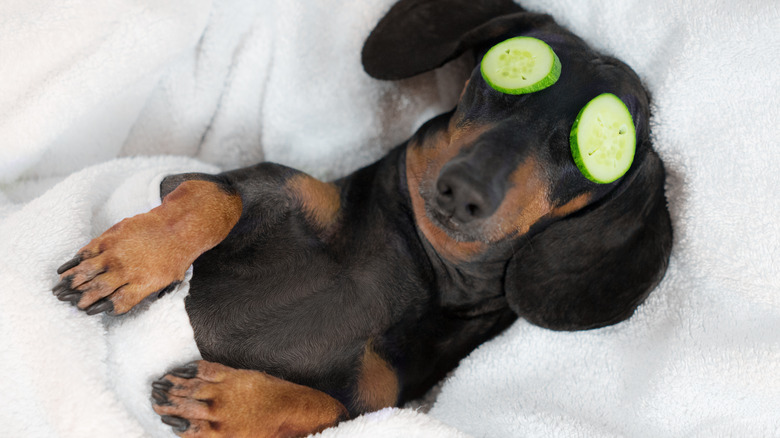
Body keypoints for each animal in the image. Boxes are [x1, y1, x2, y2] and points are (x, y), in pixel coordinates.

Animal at [51, 1, 672, 436]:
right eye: (503, 73)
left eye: (594, 148)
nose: (464, 190)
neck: (419, 267)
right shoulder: (228, 181)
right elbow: (213, 201)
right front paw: (127, 263)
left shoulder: (377, 405)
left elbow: (323, 405)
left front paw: (226, 404)